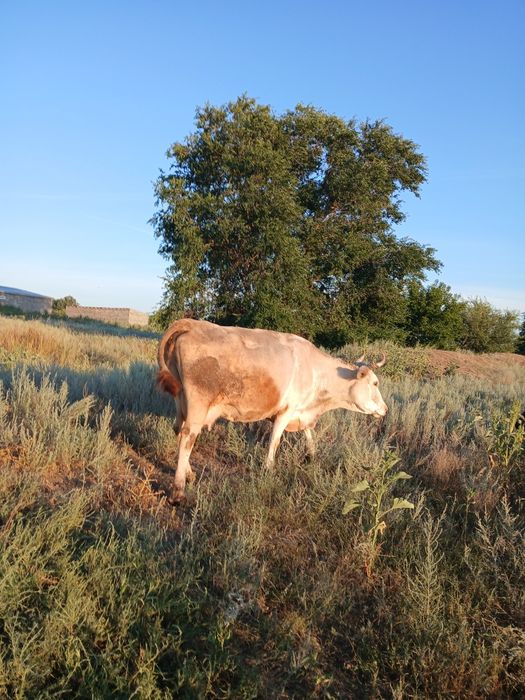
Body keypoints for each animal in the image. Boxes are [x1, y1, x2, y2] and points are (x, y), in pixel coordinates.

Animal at [157, 318, 388, 501]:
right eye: (375, 383)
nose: (385, 409)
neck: (316, 372)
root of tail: (193, 324)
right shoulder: (286, 411)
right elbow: (275, 440)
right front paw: (269, 469)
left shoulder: (300, 411)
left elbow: (308, 434)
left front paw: (312, 456)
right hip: (198, 404)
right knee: (188, 438)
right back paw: (178, 491)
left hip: (181, 400)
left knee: (178, 431)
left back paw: (190, 474)